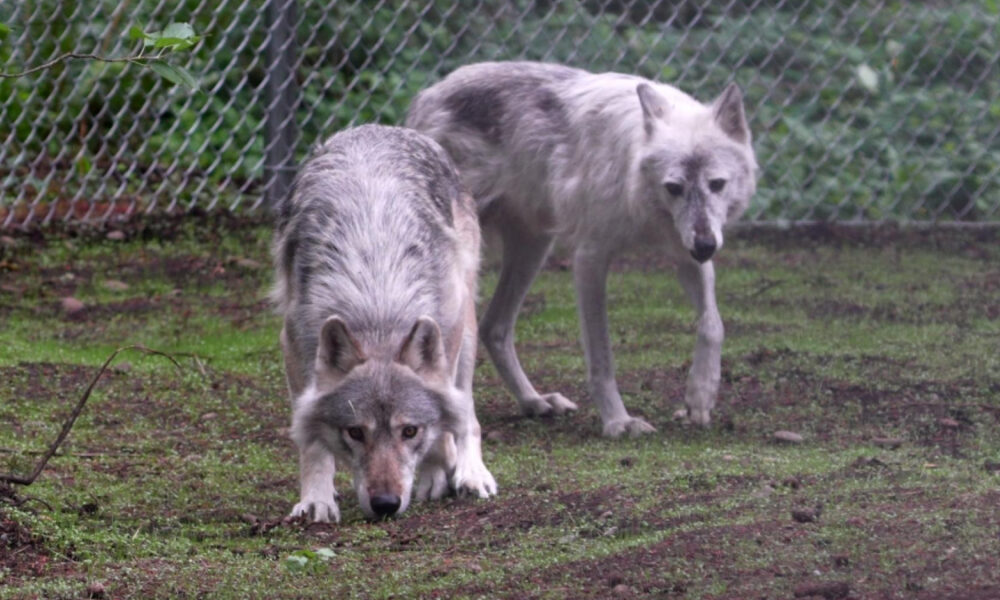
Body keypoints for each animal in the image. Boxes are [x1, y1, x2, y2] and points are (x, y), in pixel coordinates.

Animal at [271, 124, 497, 522]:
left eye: (409, 431)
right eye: (355, 433)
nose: (386, 504)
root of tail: (384, 128)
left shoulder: (449, 332)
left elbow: (445, 420)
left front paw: (436, 472)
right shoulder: (294, 345)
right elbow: (312, 441)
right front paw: (317, 500)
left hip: (467, 328)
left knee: (466, 410)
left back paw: (470, 473)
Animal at [407, 61, 757, 436]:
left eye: (717, 184)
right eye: (674, 188)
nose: (706, 246)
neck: (632, 170)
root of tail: (426, 96)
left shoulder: (685, 250)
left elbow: (713, 325)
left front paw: (700, 396)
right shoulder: (591, 258)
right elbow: (602, 357)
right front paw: (619, 421)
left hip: (534, 247)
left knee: (494, 327)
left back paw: (534, 402)